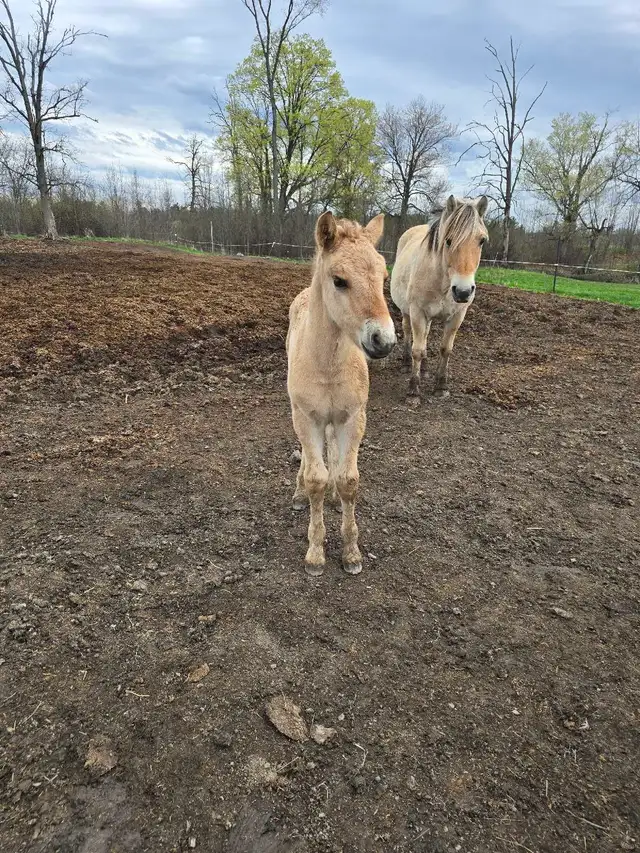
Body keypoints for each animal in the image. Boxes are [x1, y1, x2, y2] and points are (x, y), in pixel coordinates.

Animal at [286, 211, 397, 577]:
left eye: (383, 277)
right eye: (339, 280)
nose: (383, 340)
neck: (328, 365)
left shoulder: (353, 417)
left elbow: (349, 479)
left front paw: (351, 553)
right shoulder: (306, 418)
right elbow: (315, 478)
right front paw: (315, 554)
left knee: (332, 448)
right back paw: (299, 492)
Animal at [390, 194, 488, 398]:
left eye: (482, 240)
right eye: (448, 240)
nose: (463, 291)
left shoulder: (457, 316)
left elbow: (445, 349)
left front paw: (441, 386)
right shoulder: (418, 312)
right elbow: (417, 349)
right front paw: (413, 390)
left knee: (425, 337)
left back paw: (425, 369)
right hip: (407, 311)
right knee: (408, 332)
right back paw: (406, 363)